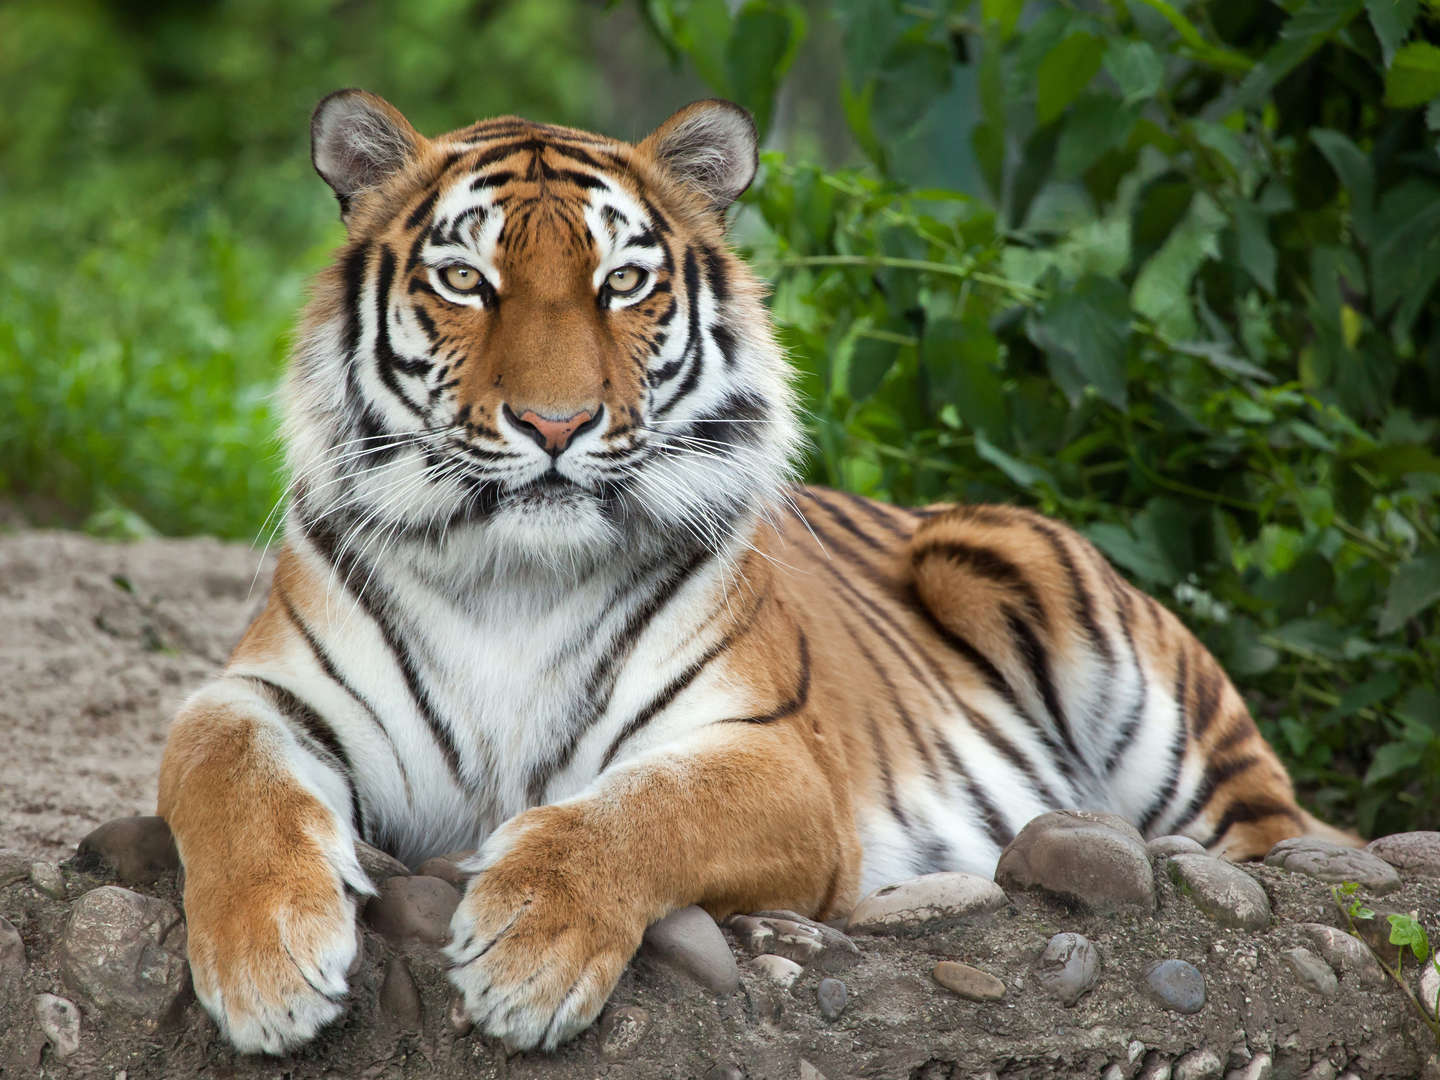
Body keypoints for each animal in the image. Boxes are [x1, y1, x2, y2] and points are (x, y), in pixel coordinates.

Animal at [157, 91, 1347, 1059]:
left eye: (622, 283)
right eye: (465, 280)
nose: (555, 424)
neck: (512, 580)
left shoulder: (777, 761)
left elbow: (639, 811)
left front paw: (527, 951)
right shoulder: (263, 693)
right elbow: (227, 774)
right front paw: (268, 967)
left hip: (1057, 611)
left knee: (1282, 838)